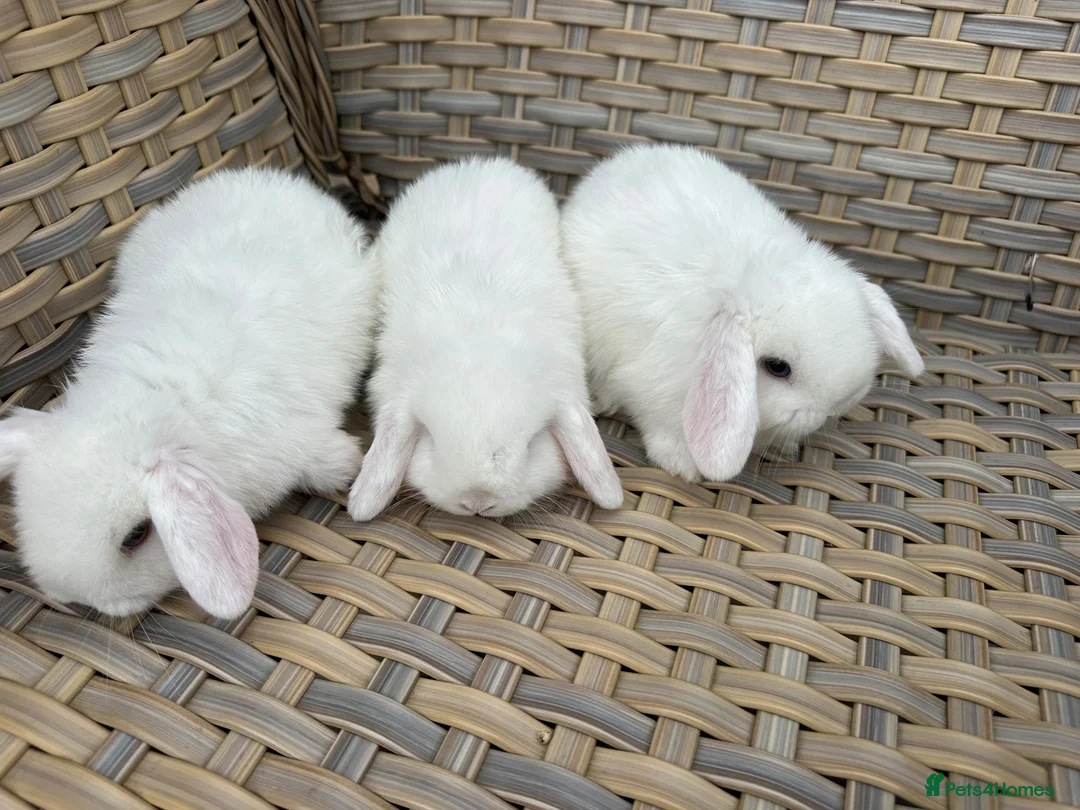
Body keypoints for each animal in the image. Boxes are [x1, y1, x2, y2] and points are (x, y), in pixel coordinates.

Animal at [0, 166, 378, 620]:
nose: (80, 601)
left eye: (136, 535)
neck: (161, 403)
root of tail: (266, 177)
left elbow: (331, 464)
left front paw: (349, 462)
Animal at [560, 143, 924, 483]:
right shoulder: (650, 385)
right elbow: (662, 426)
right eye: (777, 368)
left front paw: (784, 446)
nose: (835, 407)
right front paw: (684, 466)